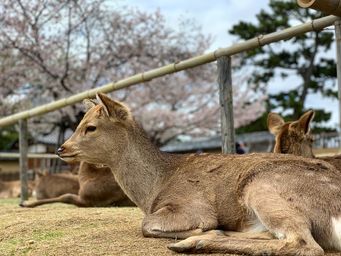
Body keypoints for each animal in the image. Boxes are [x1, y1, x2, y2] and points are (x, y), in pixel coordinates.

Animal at [57, 93, 340, 255]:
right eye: (79, 123)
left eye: (90, 127)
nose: (62, 148)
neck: (155, 189)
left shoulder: (193, 206)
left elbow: (146, 225)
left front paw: (200, 231)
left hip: (262, 186)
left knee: (304, 244)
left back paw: (191, 243)